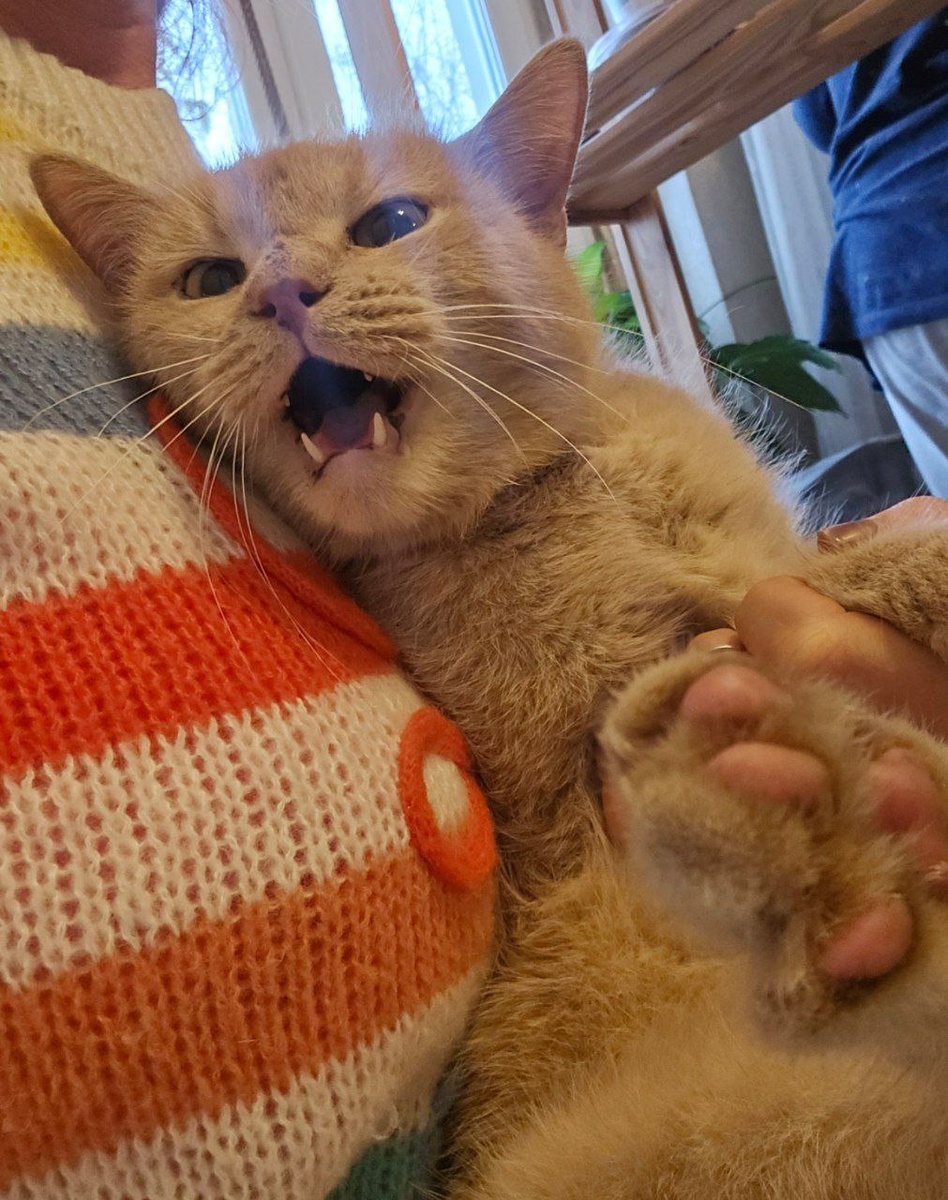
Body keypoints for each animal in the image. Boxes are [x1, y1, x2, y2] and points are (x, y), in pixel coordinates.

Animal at [31, 38, 948, 1198]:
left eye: (388, 223)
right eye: (208, 279)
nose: (282, 290)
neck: (547, 490)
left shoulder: (766, 562)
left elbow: (847, 567)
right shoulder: (563, 834)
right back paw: (790, 829)